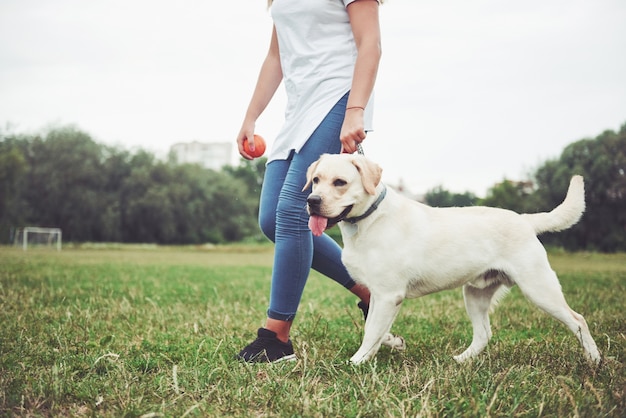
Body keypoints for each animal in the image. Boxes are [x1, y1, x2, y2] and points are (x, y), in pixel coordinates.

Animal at [302, 153, 600, 366]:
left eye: (340, 182)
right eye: (315, 180)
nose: (312, 200)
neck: (369, 220)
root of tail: (525, 220)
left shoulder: (388, 295)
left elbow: (371, 330)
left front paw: (357, 362)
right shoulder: (378, 294)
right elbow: (373, 328)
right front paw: (387, 345)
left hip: (539, 288)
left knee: (579, 320)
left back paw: (595, 361)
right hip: (475, 294)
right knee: (483, 334)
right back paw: (460, 361)